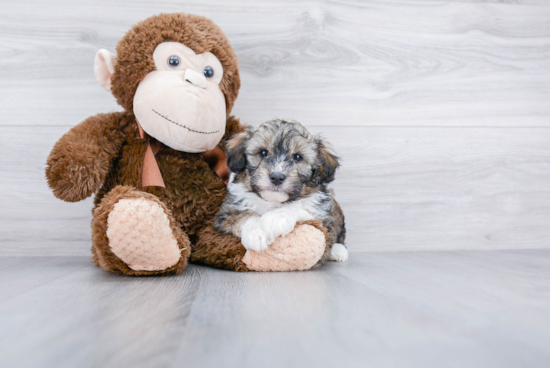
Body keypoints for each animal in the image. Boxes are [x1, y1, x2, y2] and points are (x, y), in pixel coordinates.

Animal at [213, 118, 348, 262]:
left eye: (297, 157)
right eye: (263, 153)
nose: (277, 177)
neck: (272, 202)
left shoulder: (323, 216)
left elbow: (300, 207)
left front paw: (275, 219)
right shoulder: (225, 213)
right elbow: (242, 215)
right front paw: (256, 234)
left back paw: (339, 251)